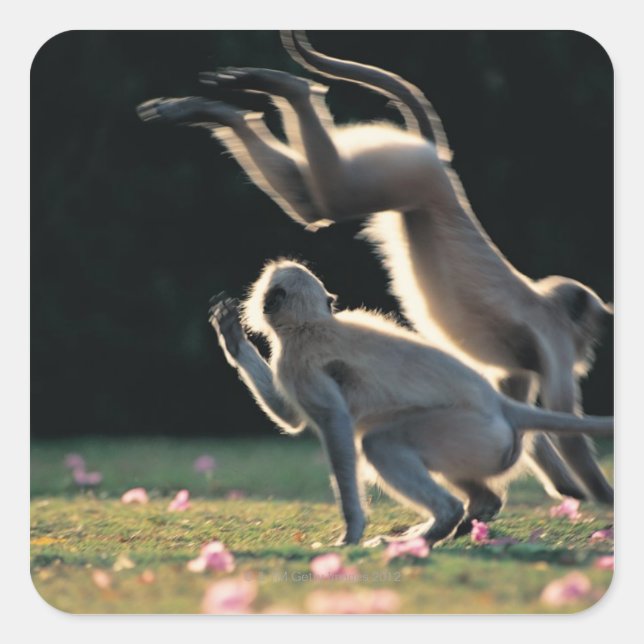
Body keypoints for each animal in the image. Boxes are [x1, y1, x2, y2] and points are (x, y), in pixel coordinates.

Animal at [137, 30, 613, 507]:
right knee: (330, 200)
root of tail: (440, 164)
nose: (590, 351)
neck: (542, 303)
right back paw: (288, 88)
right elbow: (563, 426)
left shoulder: (523, 365)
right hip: (415, 173)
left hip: (405, 176)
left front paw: (567, 487)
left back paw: (227, 108)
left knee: (311, 205)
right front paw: (602, 495)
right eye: (591, 332)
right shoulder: (555, 339)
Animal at [208, 259, 613, 546]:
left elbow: (333, 424)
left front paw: (351, 532)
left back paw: (442, 521)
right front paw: (232, 337)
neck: (310, 324)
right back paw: (470, 514)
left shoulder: (296, 363)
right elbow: (293, 417)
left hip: (470, 432)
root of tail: (500, 403)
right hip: (485, 445)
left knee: (377, 442)